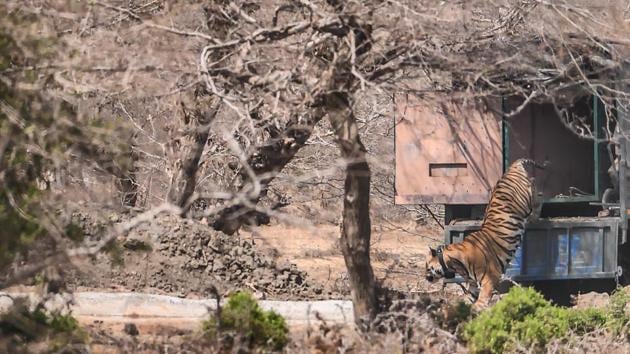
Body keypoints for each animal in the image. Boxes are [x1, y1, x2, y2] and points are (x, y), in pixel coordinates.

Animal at [424, 159, 548, 312]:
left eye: (427, 267)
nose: (426, 278)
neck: (454, 264)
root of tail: (512, 167)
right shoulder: (472, 283)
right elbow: (470, 296)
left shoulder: (490, 278)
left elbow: (482, 299)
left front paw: (478, 308)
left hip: (527, 198)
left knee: (537, 194)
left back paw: (534, 215)